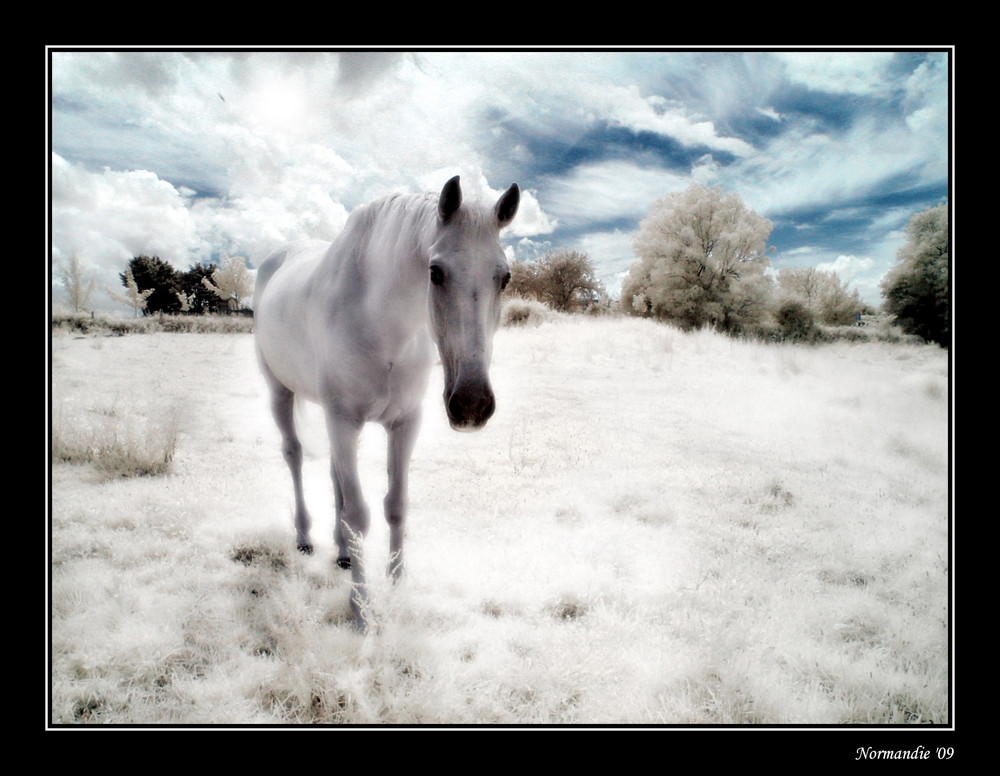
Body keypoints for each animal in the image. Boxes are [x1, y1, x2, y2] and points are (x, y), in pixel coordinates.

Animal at [254, 176, 520, 632]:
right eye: (435, 272)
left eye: (503, 278)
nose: (471, 404)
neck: (382, 326)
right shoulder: (344, 421)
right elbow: (360, 515)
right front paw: (361, 612)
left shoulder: (404, 423)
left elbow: (395, 506)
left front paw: (396, 592)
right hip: (281, 394)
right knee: (294, 456)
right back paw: (304, 537)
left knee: (334, 476)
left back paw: (344, 553)